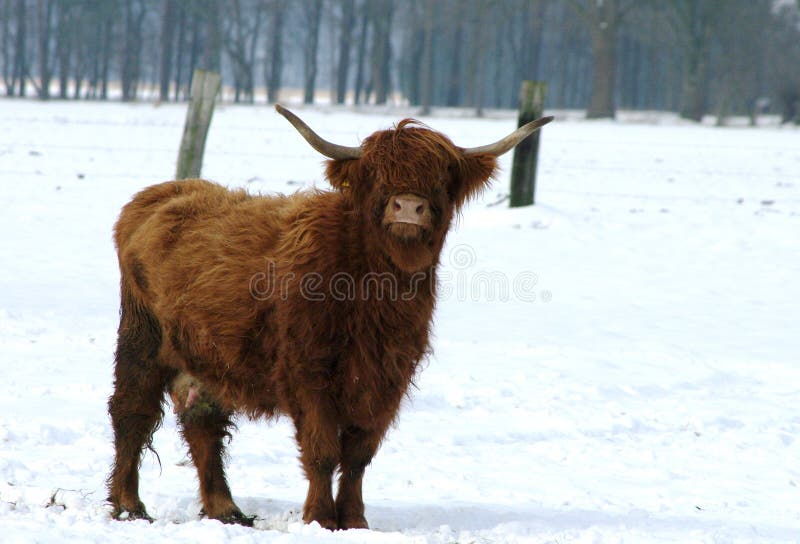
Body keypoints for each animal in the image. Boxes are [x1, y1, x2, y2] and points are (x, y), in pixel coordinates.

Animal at [106, 105, 552, 530]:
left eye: (443, 177)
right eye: (377, 176)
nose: (409, 206)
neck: (371, 292)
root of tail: (161, 193)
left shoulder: (386, 380)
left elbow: (358, 456)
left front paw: (354, 519)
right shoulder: (307, 372)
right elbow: (322, 450)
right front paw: (320, 517)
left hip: (206, 358)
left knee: (203, 423)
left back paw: (226, 509)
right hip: (141, 337)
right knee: (132, 412)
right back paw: (129, 506)